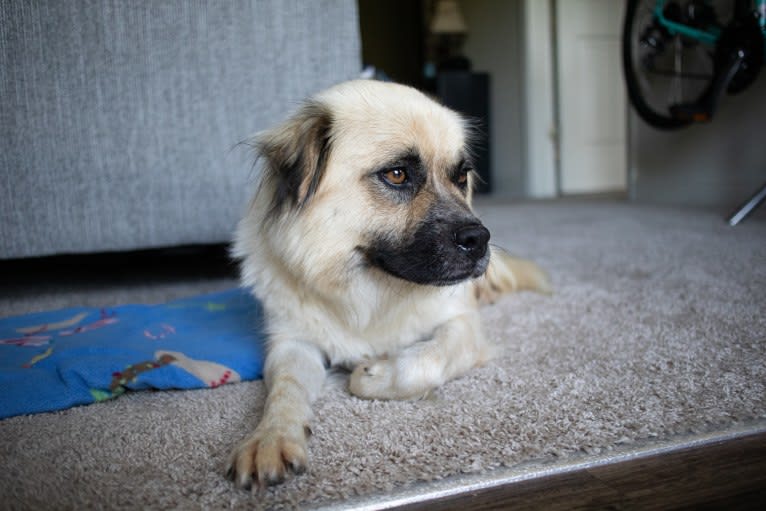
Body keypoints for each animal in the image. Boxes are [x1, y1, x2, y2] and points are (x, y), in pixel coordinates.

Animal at [225, 78, 548, 490]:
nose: (480, 239)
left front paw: (374, 373)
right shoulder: (292, 343)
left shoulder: (463, 325)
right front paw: (271, 437)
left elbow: (424, 361)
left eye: (461, 177)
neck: (371, 288)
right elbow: (284, 390)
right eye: (396, 175)